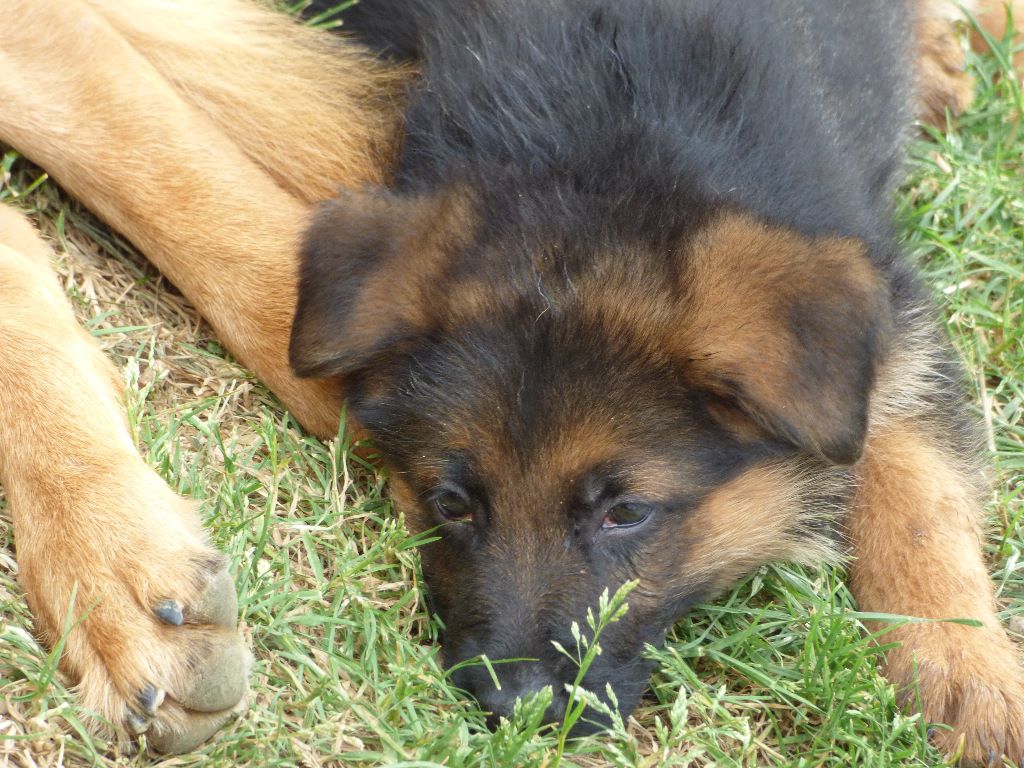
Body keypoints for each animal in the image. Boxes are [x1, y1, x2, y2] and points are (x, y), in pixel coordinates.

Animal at [288, 0, 1024, 761]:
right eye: (451, 503)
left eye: (627, 512)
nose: (515, 710)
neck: (600, 149)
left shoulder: (899, 337)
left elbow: (918, 499)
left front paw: (964, 667)